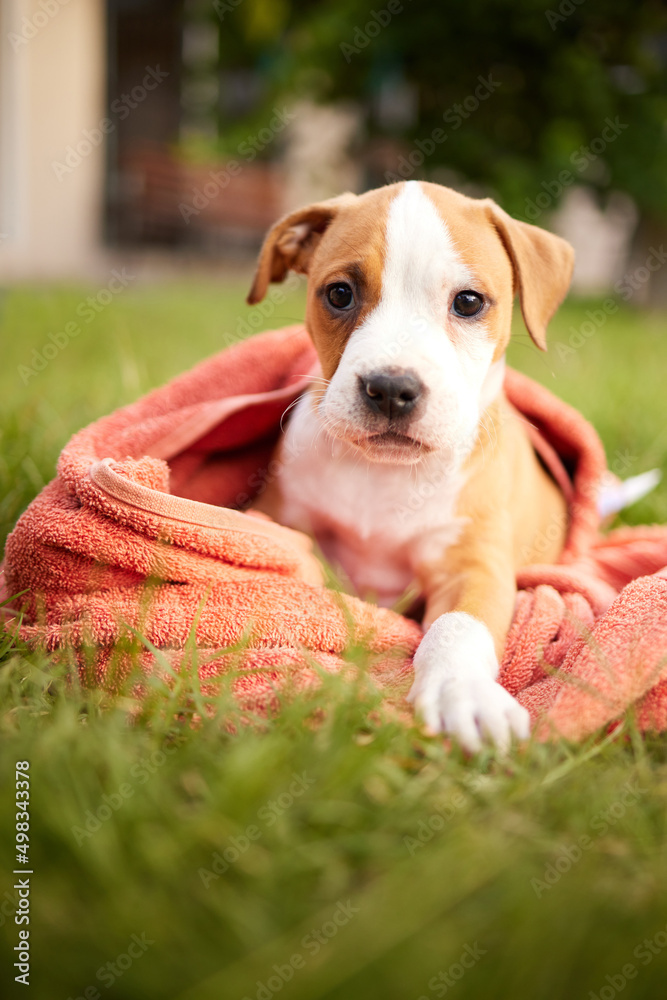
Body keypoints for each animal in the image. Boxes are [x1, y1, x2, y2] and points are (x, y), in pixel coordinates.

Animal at [245, 180, 576, 752]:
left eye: (468, 301)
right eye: (339, 294)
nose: (391, 389)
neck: (385, 475)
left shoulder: (474, 565)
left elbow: (458, 628)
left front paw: (462, 693)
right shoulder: (280, 513)